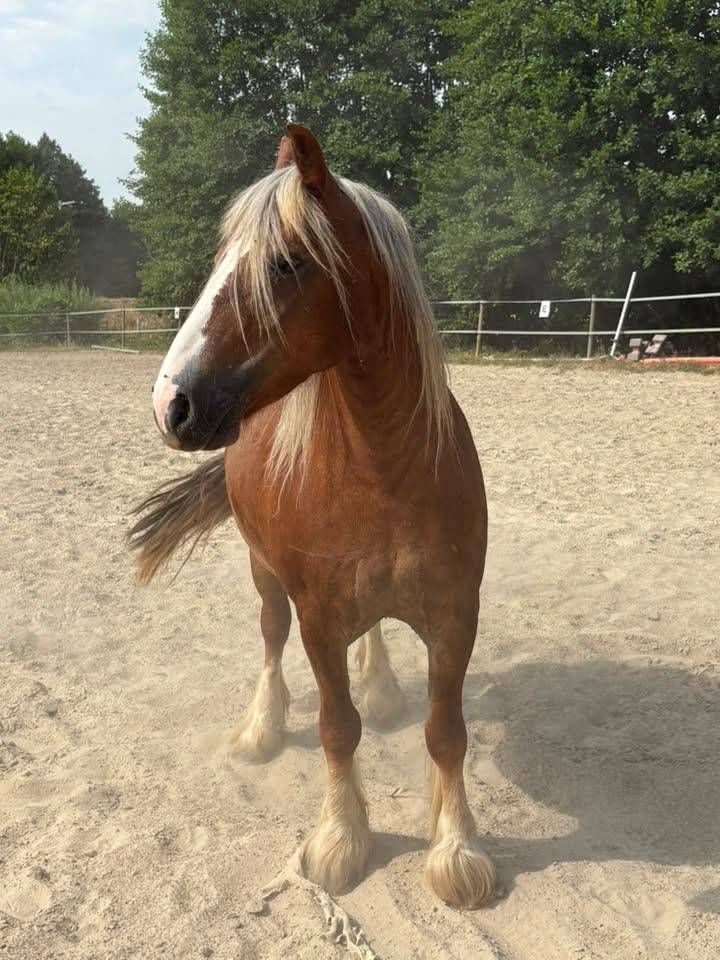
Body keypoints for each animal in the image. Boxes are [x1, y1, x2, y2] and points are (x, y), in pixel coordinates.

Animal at [129, 124, 496, 909]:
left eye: (286, 263)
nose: (172, 403)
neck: (384, 468)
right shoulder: (319, 619)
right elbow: (336, 728)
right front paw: (340, 840)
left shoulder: (456, 614)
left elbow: (446, 732)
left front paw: (456, 851)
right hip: (264, 572)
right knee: (270, 638)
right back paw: (262, 729)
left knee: (377, 636)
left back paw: (382, 686)